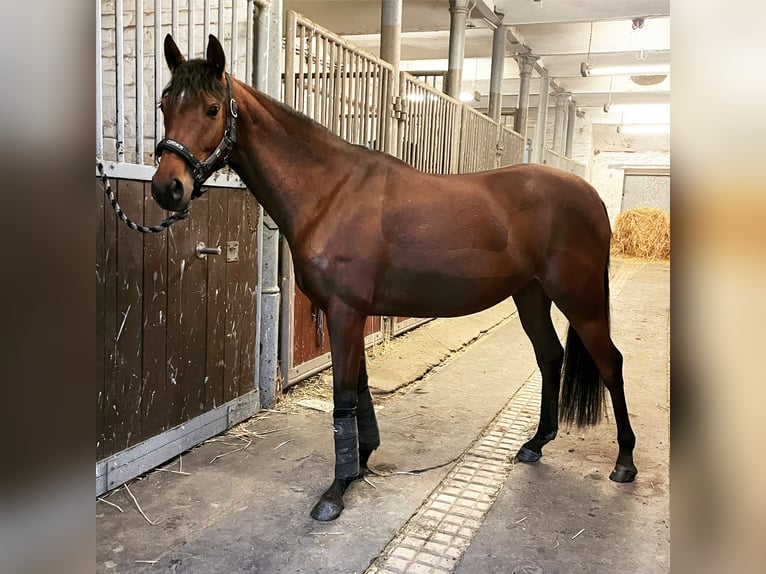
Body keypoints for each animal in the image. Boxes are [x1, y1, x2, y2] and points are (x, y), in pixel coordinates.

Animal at [153, 35, 640, 520]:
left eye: (213, 108)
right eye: (164, 103)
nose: (166, 188)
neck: (330, 193)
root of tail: (591, 196)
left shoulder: (345, 313)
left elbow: (343, 398)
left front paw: (336, 490)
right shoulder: (352, 314)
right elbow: (362, 391)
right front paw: (361, 461)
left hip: (580, 301)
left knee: (610, 363)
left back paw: (624, 461)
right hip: (531, 295)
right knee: (550, 356)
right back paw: (536, 443)